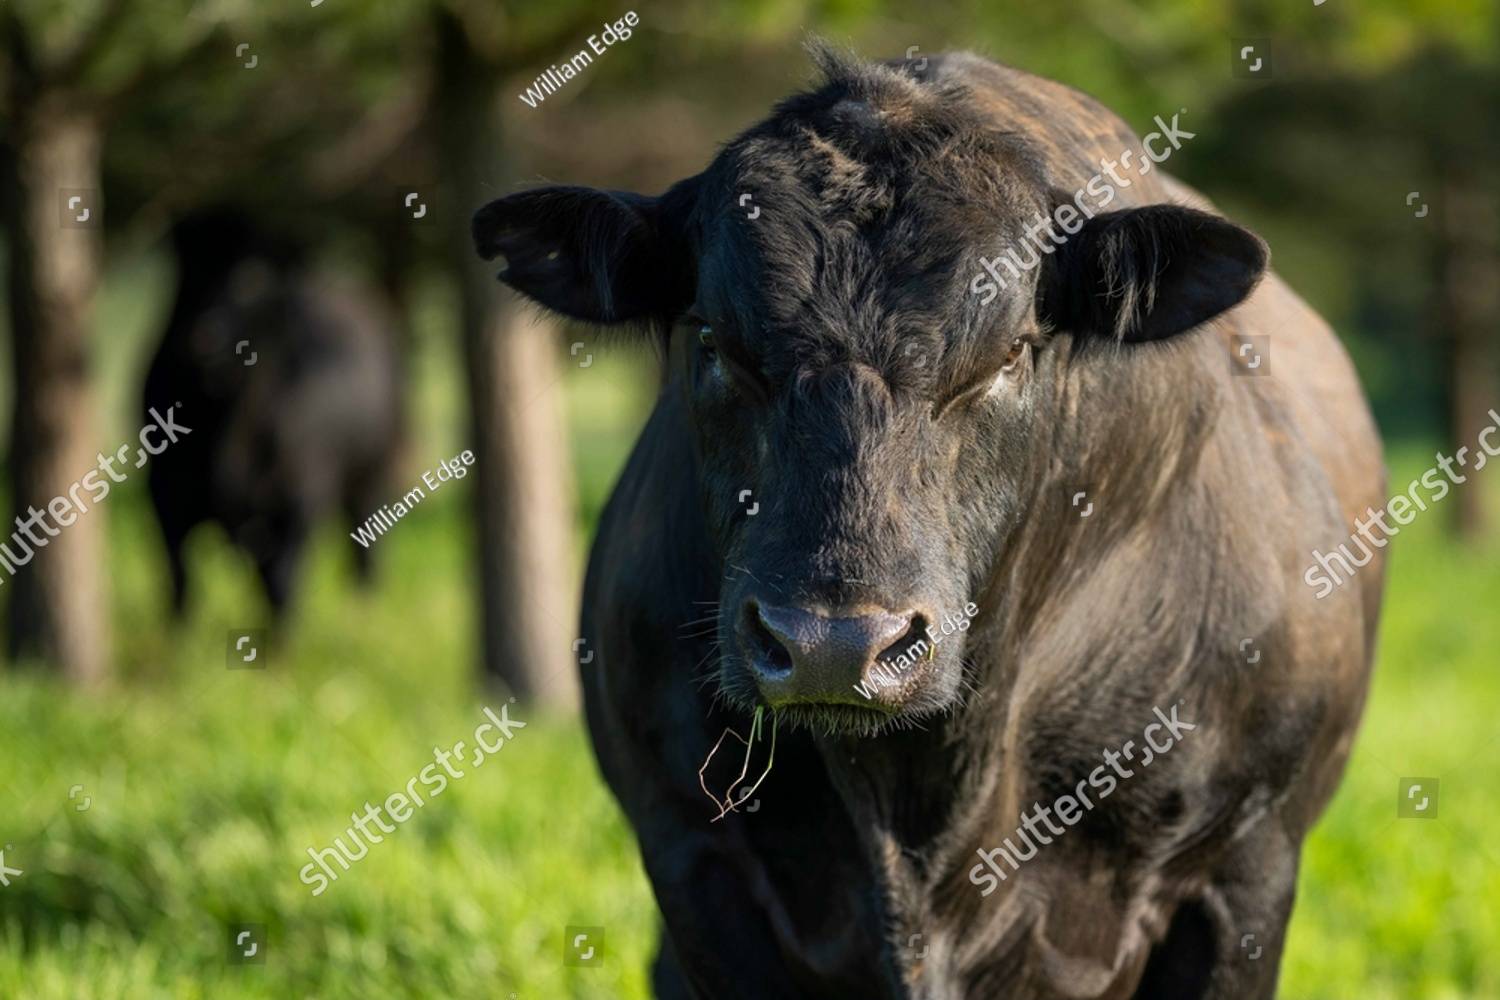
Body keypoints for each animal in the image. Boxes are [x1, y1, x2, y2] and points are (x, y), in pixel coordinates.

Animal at [143, 210, 402, 621]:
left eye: (254, 279)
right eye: (193, 269)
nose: (206, 337)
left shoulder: (297, 501)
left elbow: (281, 585)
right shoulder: (165, 492)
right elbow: (179, 580)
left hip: (372, 472)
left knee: (365, 549)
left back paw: (364, 608)